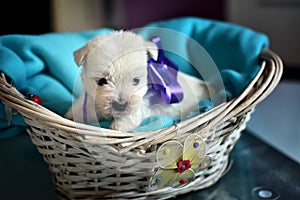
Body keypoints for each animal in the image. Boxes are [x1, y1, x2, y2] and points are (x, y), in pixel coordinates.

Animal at [64, 30, 212, 131]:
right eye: (101, 81)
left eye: (136, 81)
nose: (120, 105)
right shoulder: (91, 99)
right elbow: (84, 107)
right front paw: (70, 115)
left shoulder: (142, 104)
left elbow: (130, 116)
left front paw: (117, 126)